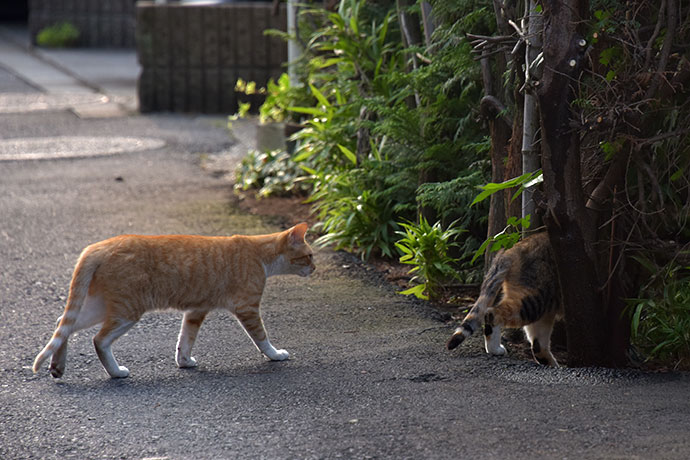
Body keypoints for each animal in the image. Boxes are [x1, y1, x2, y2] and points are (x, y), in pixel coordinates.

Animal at [31, 222, 312, 378]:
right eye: (309, 256)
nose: (315, 268)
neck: (260, 254)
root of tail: (98, 246)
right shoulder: (248, 308)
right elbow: (262, 338)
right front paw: (275, 355)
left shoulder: (196, 311)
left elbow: (185, 340)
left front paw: (184, 362)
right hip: (127, 311)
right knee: (98, 340)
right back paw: (116, 372)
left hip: (102, 307)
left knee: (63, 324)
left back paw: (57, 366)